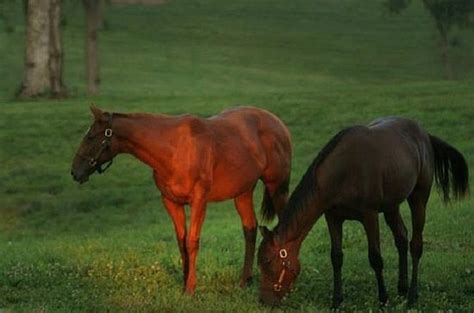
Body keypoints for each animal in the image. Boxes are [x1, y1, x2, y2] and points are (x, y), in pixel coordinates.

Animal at [71, 105, 292, 292]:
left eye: (91, 136)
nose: (75, 172)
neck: (174, 149)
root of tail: (278, 123)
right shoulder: (171, 202)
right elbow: (181, 241)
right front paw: (185, 281)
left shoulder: (199, 201)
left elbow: (192, 242)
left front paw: (190, 288)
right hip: (243, 193)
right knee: (250, 229)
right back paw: (245, 280)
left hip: (277, 188)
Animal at [258, 116, 468, 308]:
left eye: (267, 261)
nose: (264, 301)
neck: (342, 172)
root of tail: (424, 135)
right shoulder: (333, 217)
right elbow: (336, 257)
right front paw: (336, 300)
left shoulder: (370, 216)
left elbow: (375, 257)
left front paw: (383, 299)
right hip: (391, 206)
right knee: (401, 237)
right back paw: (402, 287)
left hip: (418, 197)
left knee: (415, 244)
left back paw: (412, 296)